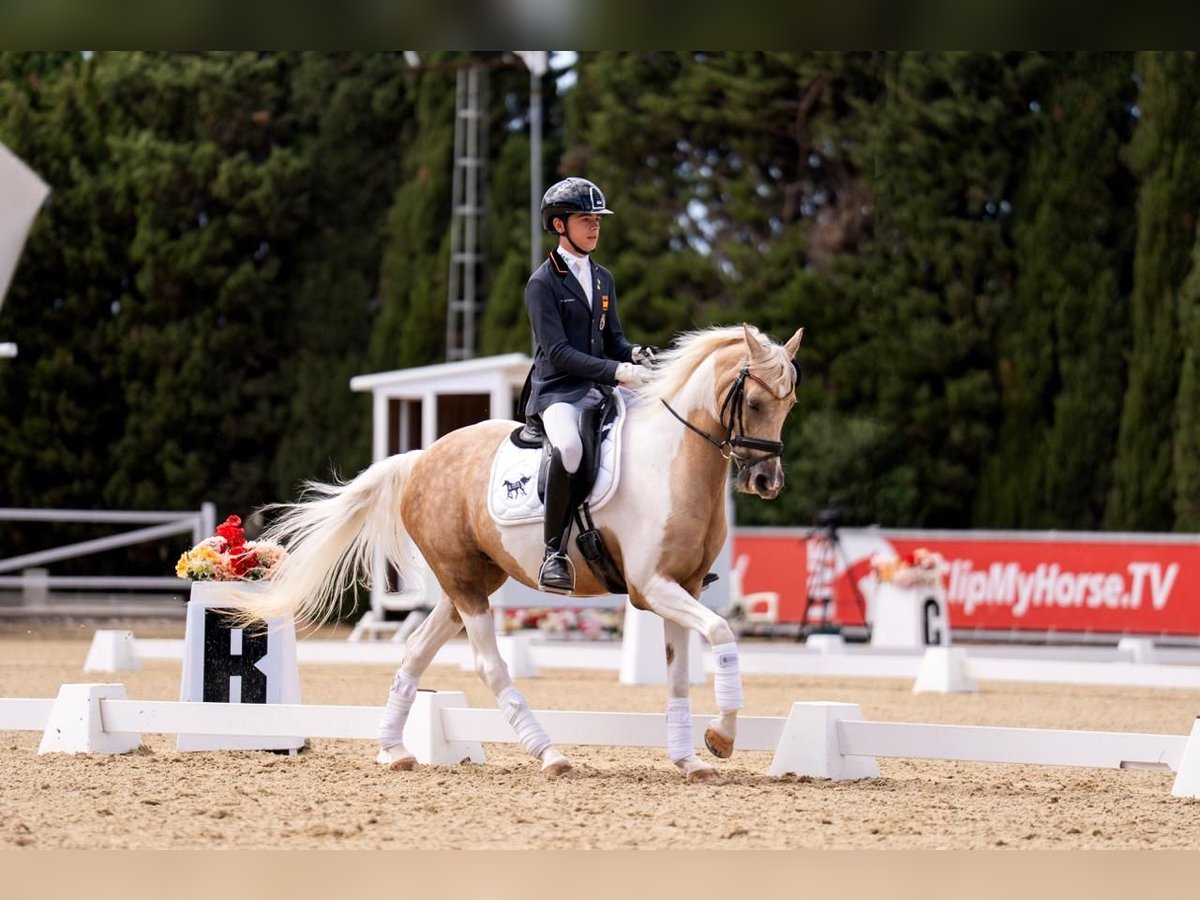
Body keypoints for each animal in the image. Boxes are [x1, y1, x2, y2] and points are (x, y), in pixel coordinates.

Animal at [235, 322, 803, 783]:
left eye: (789, 404)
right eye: (755, 403)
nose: (766, 482)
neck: (674, 459)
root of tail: (422, 457)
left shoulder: (683, 587)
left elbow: (680, 672)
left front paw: (691, 757)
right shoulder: (653, 587)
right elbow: (723, 634)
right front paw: (722, 738)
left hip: (467, 582)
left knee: (415, 650)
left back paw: (394, 750)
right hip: (465, 585)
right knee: (489, 665)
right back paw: (549, 753)